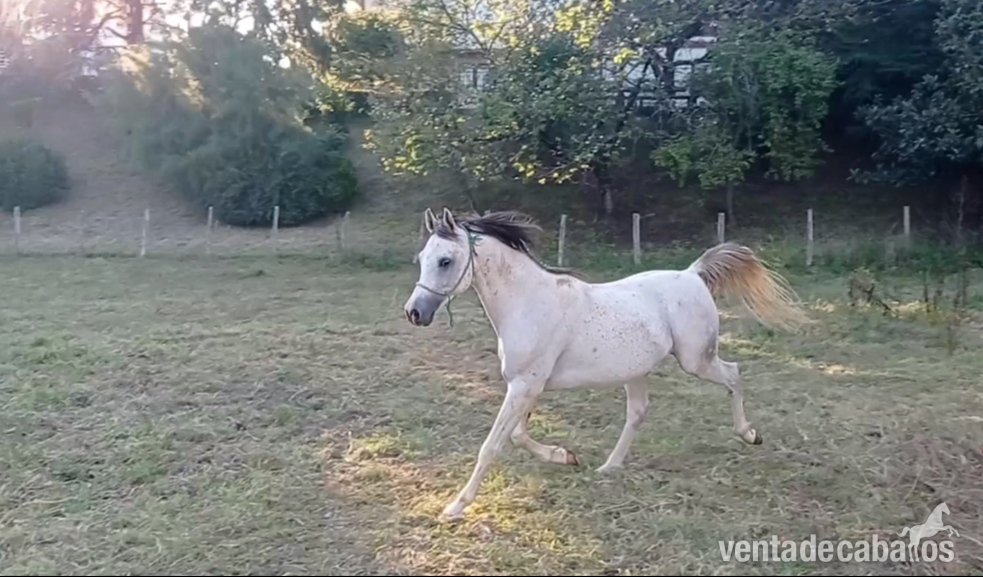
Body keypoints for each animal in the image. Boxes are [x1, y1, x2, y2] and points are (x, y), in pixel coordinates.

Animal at [403, 207, 812, 521]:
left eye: (445, 260)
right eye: (421, 259)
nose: (414, 313)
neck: (530, 303)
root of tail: (692, 274)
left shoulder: (525, 385)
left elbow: (492, 446)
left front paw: (454, 507)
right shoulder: (526, 385)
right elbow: (518, 436)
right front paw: (566, 456)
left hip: (696, 359)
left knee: (734, 375)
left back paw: (749, 434)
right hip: (637, 371)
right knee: (638, 413)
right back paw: (609, 467)